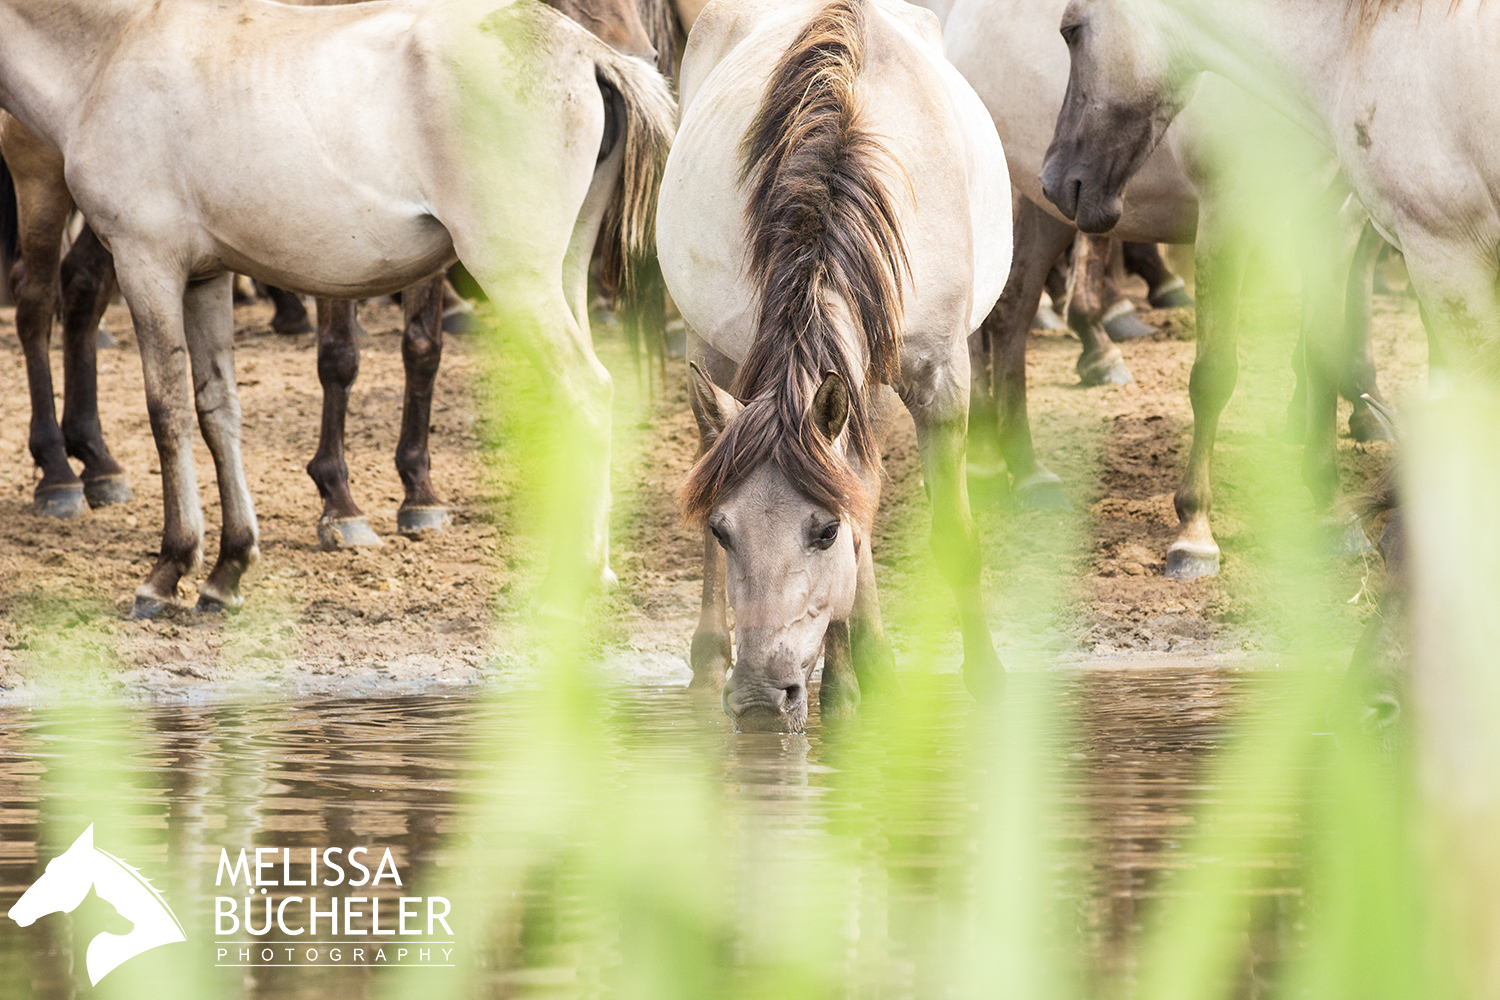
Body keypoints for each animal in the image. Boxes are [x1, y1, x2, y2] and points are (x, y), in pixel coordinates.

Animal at [657, 0, 1008, 731]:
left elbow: (944, 531)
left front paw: (979, 676)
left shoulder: (941, 377)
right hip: (707, 348)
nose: (761, 697)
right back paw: (714, 657)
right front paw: (854, 679)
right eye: (722, 529)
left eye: (823, 532)